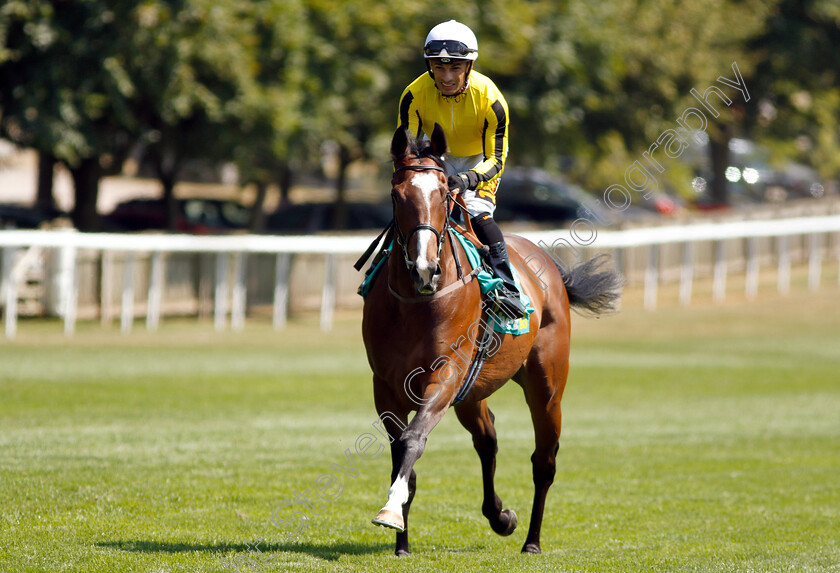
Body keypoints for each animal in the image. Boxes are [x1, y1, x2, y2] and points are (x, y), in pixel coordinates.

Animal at [360, 124, 624, 556]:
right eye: (397, 195)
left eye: (443, 194)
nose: (424, 269)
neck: (417, 303)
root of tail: (551, 269)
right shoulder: (386, 385)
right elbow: (402, 451)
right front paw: (401, 541)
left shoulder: (445, 375)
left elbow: (413, 440)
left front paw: (390, 512)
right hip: (473, 392)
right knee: (488, 439)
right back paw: (500, 516)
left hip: (546, 388)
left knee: (544, 461)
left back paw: (532, 540)